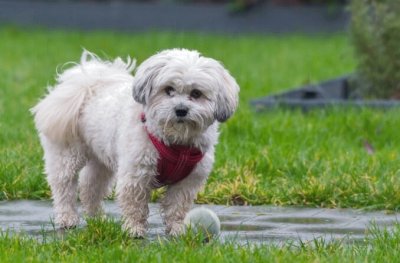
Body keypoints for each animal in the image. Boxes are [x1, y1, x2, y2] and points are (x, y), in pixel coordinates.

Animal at [32, 48, 238, 238]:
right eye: (168, 90)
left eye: (196, 93)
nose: (181, 110)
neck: (176, 143)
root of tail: (89, 84)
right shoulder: (136, 172)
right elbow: (135, 204)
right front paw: (134, 229)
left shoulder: (188, 180)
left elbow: (177, 206)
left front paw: (177, 229)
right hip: (66, 154)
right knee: (64, 187)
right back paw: (67, 218)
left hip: (101, 159)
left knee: (90, 186)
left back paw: (97, 219)